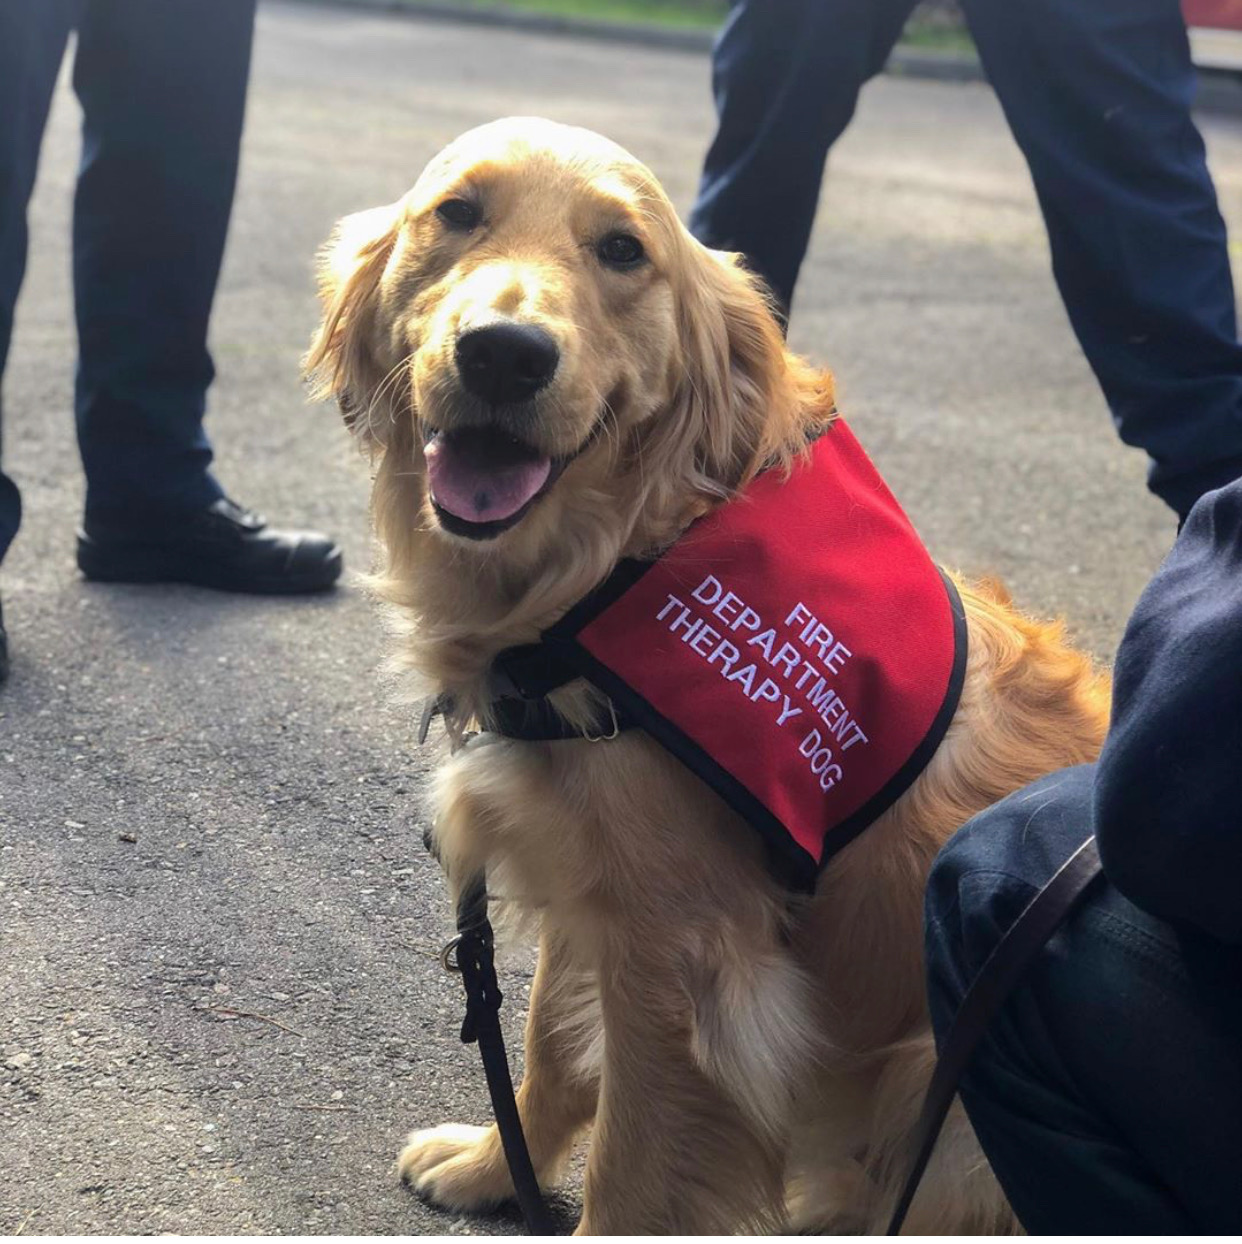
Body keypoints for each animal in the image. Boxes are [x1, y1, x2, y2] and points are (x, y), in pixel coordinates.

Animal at [306, 118, 1115, 1234]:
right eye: (456, 214)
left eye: (622, 250)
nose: (505, 353)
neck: (626, 555)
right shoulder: (589, 877)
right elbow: (550, 1051)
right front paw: (496, 1165)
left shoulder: (691, 963)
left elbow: (633, 1160)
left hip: (943, 1100)